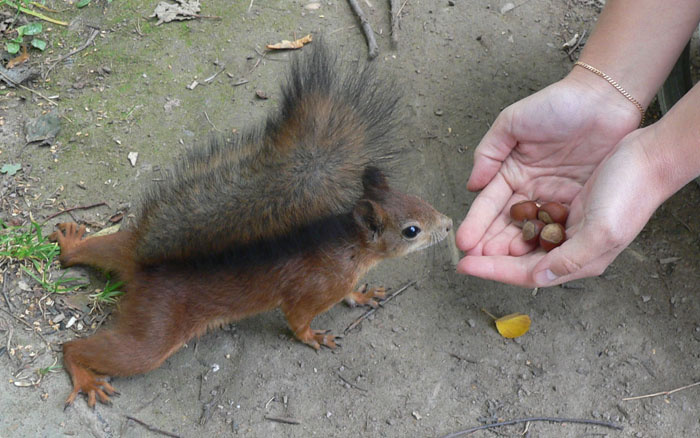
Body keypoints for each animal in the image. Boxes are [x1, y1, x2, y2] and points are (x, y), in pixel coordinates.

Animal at [50, 41, 453, 408]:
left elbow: (350, 294)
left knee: (93, 251)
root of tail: (140, 265)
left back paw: (71, 244)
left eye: (420, 200)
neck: (352, 249)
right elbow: (298, 320)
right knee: (84, 348)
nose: (448, 224)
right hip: (156, 329)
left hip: (120, 246)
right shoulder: (314, 290)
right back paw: (85, 376)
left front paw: (363, 294)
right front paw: (313, 337)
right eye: (412, 230)